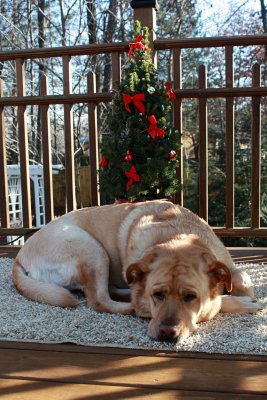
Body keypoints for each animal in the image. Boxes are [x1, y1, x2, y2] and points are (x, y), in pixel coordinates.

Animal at [12, 202, 262, 342]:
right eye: (157, 295)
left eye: (190, 297)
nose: (166, 333)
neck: (178, 237)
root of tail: (20, 255)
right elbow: (219, 302)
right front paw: (245, 303)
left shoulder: (228, 266)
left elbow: (241, 277)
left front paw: (244, 295)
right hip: (91, 248)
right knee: (99, 300)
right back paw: (131, 306)